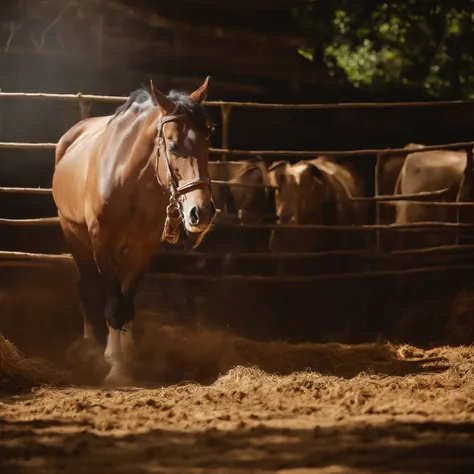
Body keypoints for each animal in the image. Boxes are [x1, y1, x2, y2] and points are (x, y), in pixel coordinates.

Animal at [52, 75, 215, 386]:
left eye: (207, 144)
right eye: (173, 147)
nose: (201, 212)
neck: (129, 182)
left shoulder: (142, 250)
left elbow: (127, 304)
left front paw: (127, 357)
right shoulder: (102, 245)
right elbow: (114, 305)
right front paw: (115, 367)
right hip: (75, 236)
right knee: (88, 287)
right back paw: (89, 347)